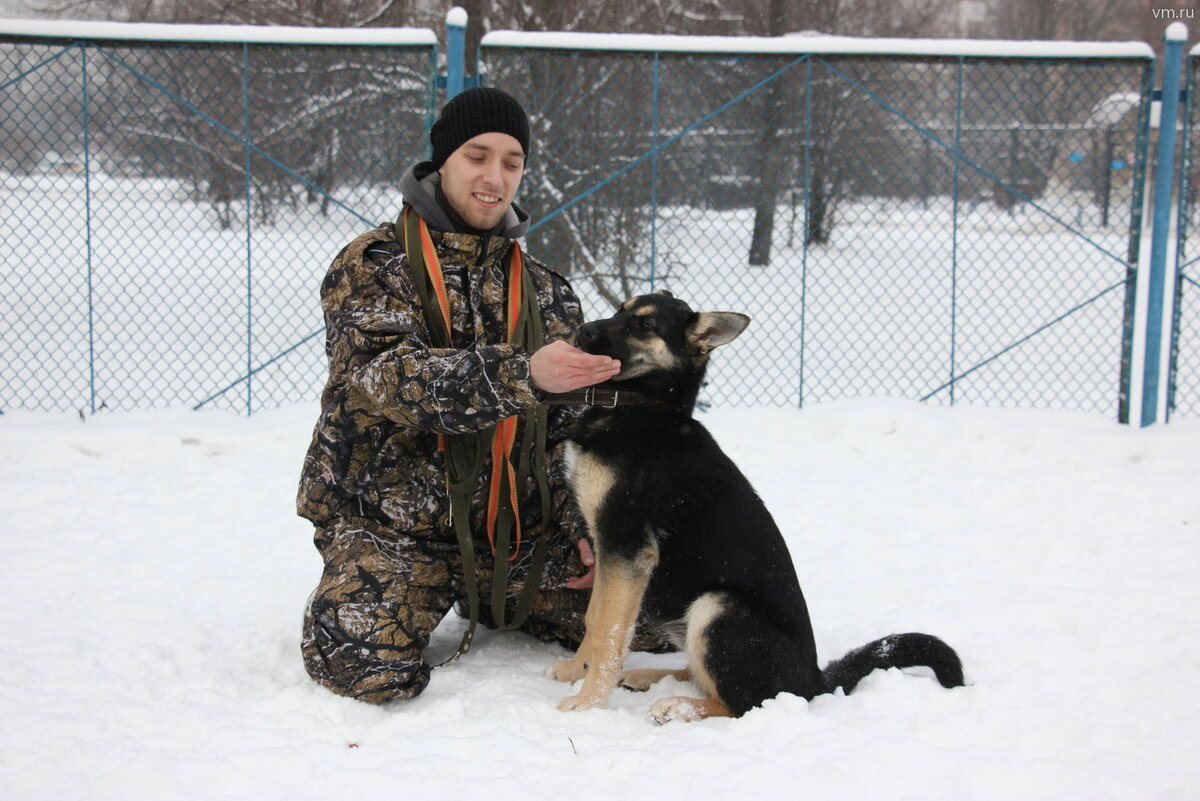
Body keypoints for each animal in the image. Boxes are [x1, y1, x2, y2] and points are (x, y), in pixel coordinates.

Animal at [549, 291, 960, 724]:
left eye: (644, 325)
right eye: (621, 309)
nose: (583, 330)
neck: (642, 405)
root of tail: (813, 680)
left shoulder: (626, 546)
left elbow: (608, 633)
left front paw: (588, 702)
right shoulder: (606, 548)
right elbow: (594, 617)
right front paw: (574, 672)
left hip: (716, 608)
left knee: (740, 703)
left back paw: (676, 706)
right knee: (704, 676)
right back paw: (649, 677)